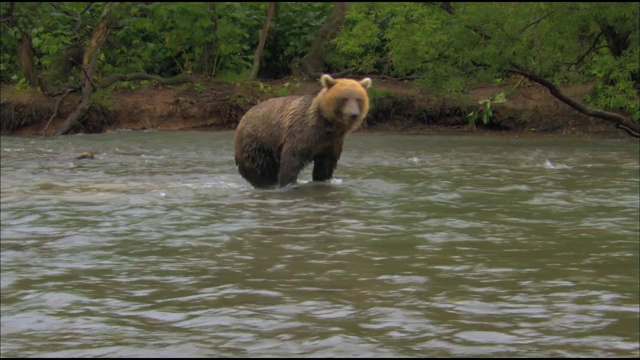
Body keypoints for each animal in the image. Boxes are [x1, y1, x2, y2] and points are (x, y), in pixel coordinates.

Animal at [235, 75, 372, 190]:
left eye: (358, 99)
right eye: (344, 98)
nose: (353, 114)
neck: (326, 126)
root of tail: (242, 118)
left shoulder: (332, 143)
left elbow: (325, 166)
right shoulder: (301, 133)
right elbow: (291, 160)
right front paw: (288, 184)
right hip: (258, 143)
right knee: (262, 170)